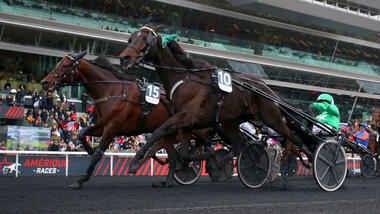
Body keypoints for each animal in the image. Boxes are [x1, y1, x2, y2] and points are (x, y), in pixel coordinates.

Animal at [40, 51, 186, 189]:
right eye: (58, 64)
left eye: (65, 66)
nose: (45, 82)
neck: (112, 91)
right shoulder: (101, 126)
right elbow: (82, 133)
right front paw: (90, 149)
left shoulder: (112, 128)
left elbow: (98, 153)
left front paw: (81, 180)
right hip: (168, 133)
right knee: (172, 157)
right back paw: (168, 182)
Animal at [119, 25, 314, 176]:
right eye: (131, 38)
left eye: (145, 39)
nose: (124, 58)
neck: (185, 78)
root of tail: (265, 87)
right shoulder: (186, 124)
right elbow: (186, 152)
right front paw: (205, 159)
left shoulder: (186, 116)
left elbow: (158, 131)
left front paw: (135, 162)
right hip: (231, 122)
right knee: (239, 145)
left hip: (271, 117)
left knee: (294, 137)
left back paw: (314, 158)